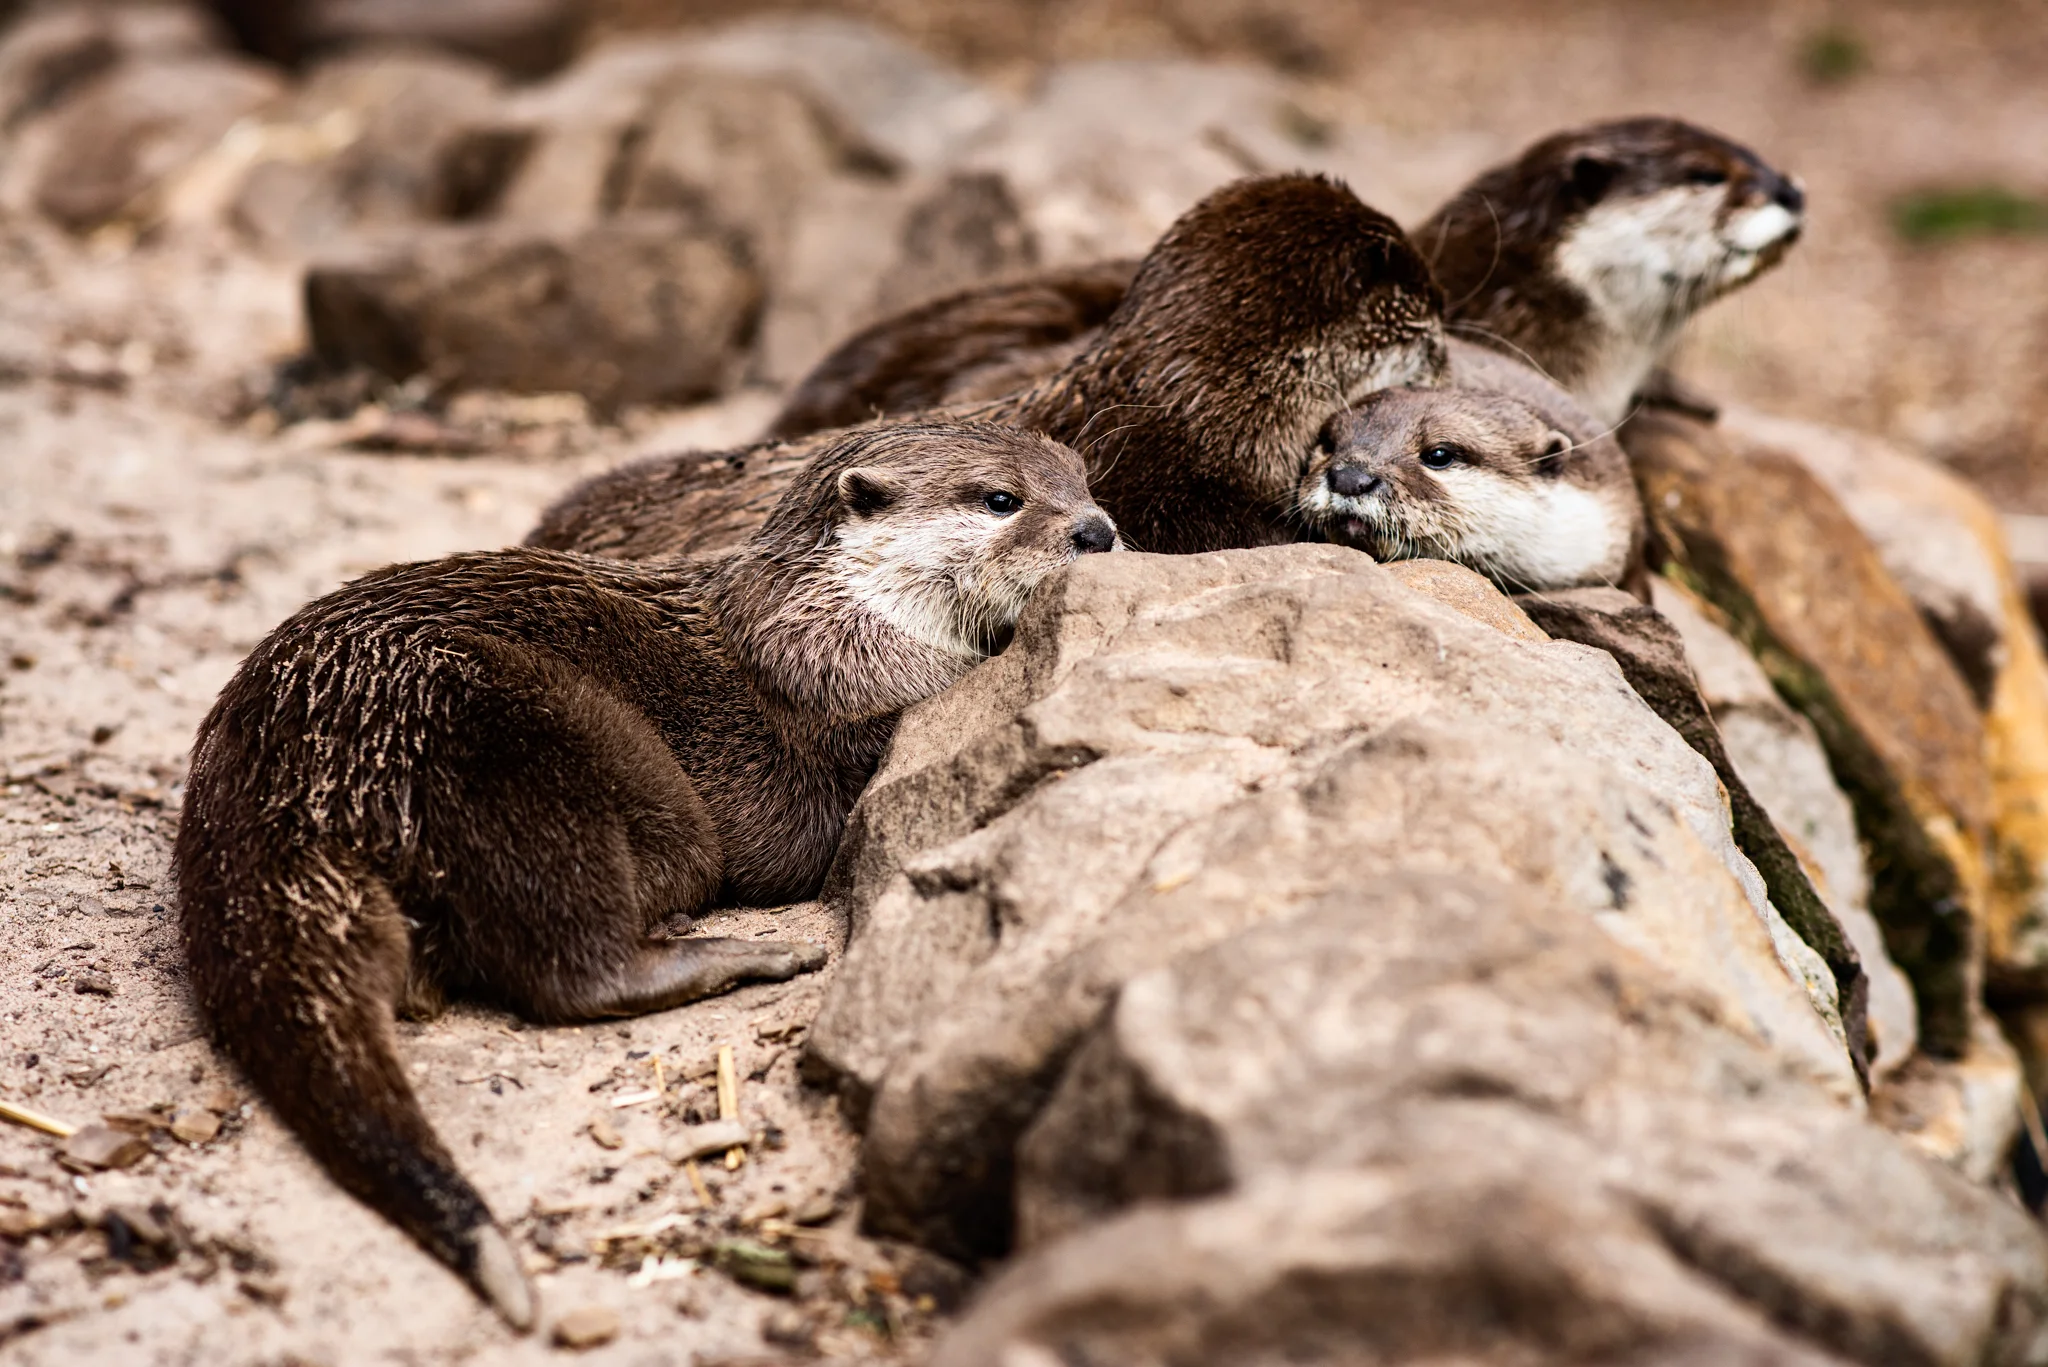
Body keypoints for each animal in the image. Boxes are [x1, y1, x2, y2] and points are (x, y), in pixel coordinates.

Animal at [174, 422, 1116, 1329]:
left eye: (1081, 477)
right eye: (1001, 498)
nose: (1098, 531)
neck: (829, 626)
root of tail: (292, 763)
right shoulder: (837, 702)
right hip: (500, 730)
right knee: (574, 965)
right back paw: (740, 954)